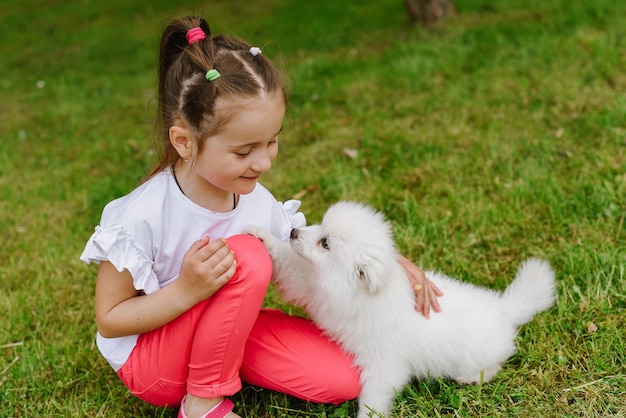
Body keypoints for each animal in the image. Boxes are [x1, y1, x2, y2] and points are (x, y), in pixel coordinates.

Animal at [244, 201, 556, 416]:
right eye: (320, 227)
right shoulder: (310, 285)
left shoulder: (384, 364)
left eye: (326, 243)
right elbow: (288, 265)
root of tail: (505, 309)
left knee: (494, 364)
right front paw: (257, 233)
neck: (359, 293)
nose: (294, 232)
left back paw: (470, 377)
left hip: (476, 354)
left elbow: (373, 400)